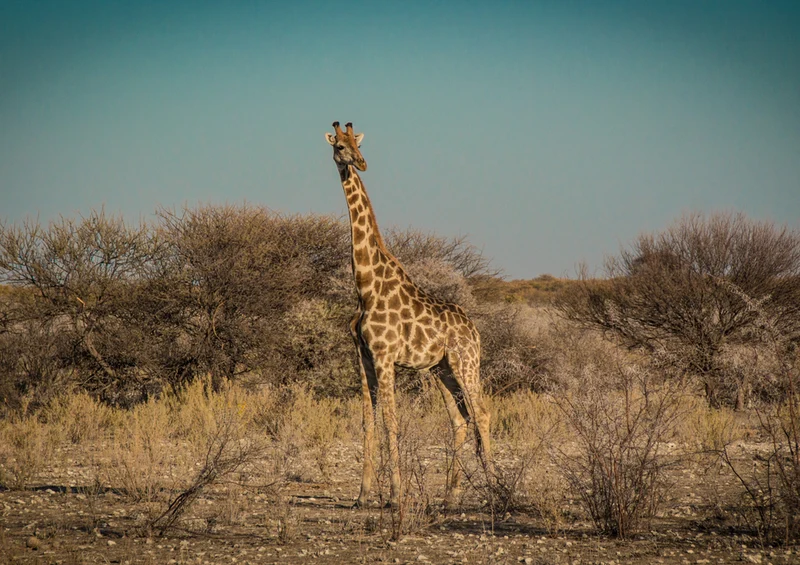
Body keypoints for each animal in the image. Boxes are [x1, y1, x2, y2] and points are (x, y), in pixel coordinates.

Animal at [324, 121, 493, 508]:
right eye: (339, 146)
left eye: (357, 145)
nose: (361, 163)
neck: (365, 285)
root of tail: (475, 330)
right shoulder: (364, 357)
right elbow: (368, 422)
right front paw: (363, 494)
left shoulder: (385, 356)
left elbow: (391, 421)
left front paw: (396, 495)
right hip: (441, 369)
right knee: (460, 420)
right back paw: (449, 496)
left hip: (465, 362)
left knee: (482, 412)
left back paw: (497, 488)